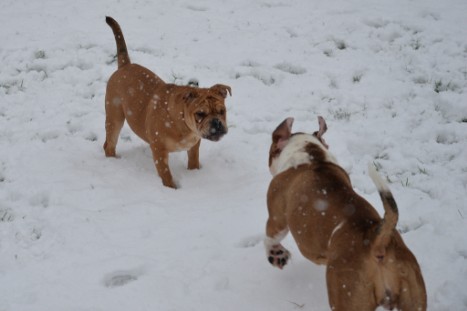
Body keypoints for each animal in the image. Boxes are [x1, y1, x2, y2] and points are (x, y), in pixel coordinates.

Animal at [104, 15, 232, 189]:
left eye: (222, 111)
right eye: (200, 113)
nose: (217, 123)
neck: (183, 123)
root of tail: (125, 65)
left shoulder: (194, 145)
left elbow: (193, 161)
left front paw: (194, 174)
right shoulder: (159, 150)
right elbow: (166, 174)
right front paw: (171, 188)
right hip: (115, 117)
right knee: (109, 143)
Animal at [266, 117, 426, 311]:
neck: (313, 158)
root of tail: (378, 241)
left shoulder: (276, 218)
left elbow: (270, 238)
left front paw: (276, 255)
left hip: (346, 293)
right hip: (411, 290)